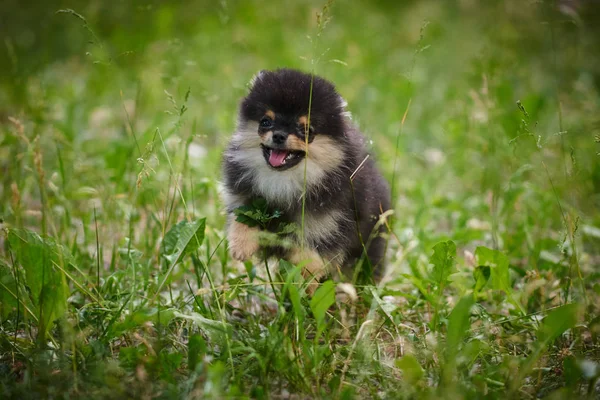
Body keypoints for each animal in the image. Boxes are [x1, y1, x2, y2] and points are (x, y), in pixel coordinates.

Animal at [220, 69, 390, 284]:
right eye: (266, 121)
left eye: (306, 130)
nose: (279, 135)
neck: (284, 180)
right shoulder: (243, 198)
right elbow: (242, 219)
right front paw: (241, 245)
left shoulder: (325, 225)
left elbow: (311, 256)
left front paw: (309, 274)